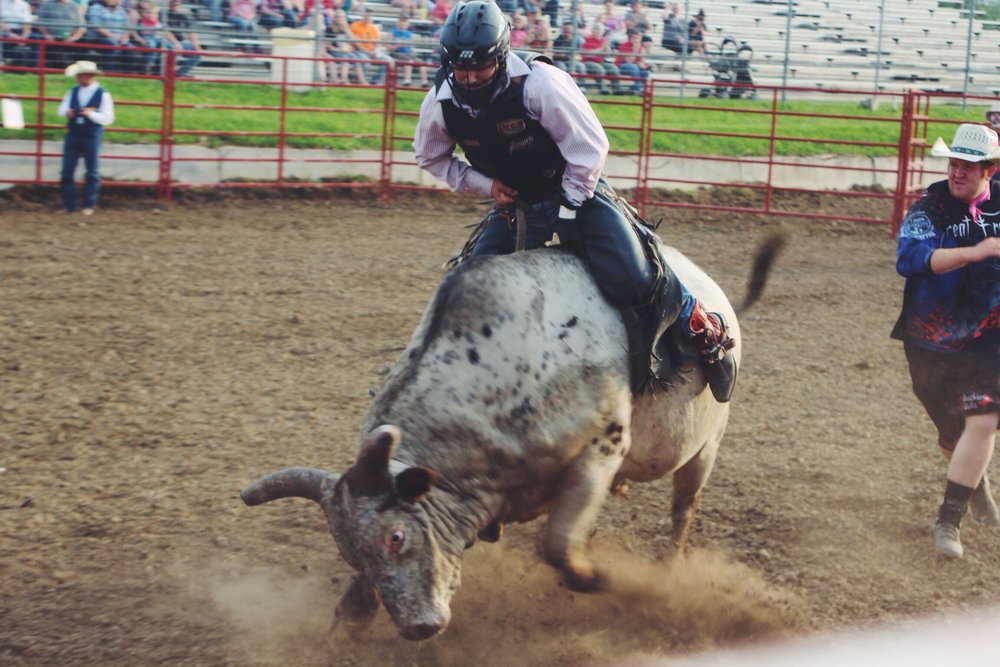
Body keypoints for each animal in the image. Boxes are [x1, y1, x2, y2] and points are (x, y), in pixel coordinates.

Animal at [240, 236, 782, 641]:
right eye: (352, 551)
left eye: (398, 537)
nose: (417, 628)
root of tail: (714, 298)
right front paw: (348, 621)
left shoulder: (602, 445)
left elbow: (557, 543)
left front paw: (594, 575)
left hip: (705, 446)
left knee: (682, 508)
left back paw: (669, 567)